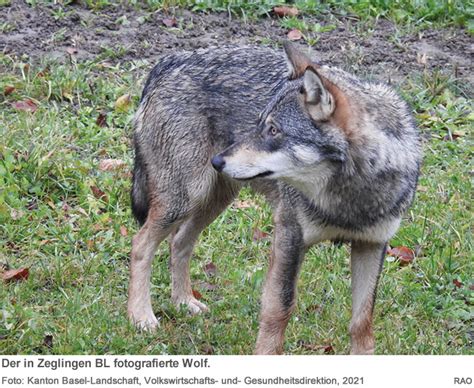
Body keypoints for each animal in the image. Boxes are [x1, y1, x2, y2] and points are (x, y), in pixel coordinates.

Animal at [128, 43, 420, 354]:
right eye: (261, 125)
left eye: (273, 130)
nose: (217, 160)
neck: (349, 199)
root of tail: (170, 61)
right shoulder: (289, 237)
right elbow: (279, 308)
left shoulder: (372, 245)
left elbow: (362, 321)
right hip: (186, 198)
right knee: (141, 244)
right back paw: (141, 317)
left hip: (212, 201)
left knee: (179, 242)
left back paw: (183, 302)